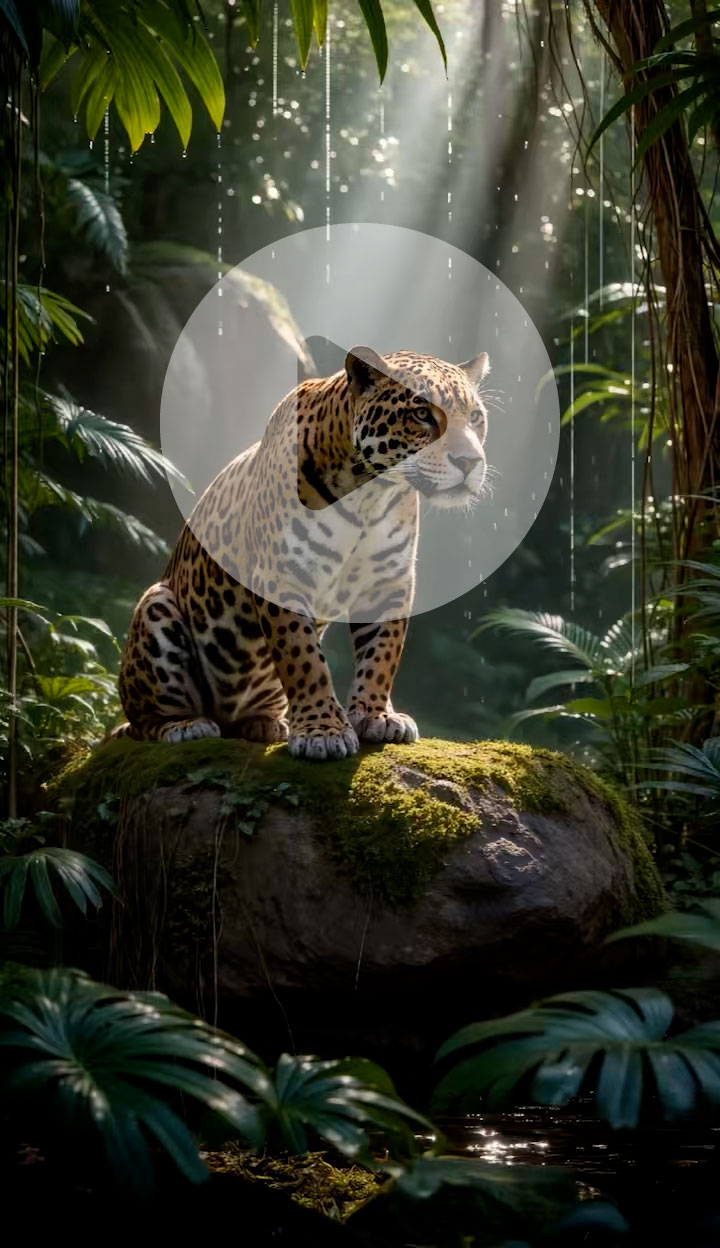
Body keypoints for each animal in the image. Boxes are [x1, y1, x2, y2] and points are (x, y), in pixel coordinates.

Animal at [115, 345, 491, 761]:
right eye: (422, 414)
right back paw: (185, 725)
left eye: (475, 417)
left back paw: (266, 724)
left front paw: (376, 715)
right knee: (143, 720)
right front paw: (322, 730)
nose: (470, 462)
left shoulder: (388, 581)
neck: (370, 493)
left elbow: (382, 654)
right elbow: (304, 658)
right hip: (155, 609)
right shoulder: (282, 576)